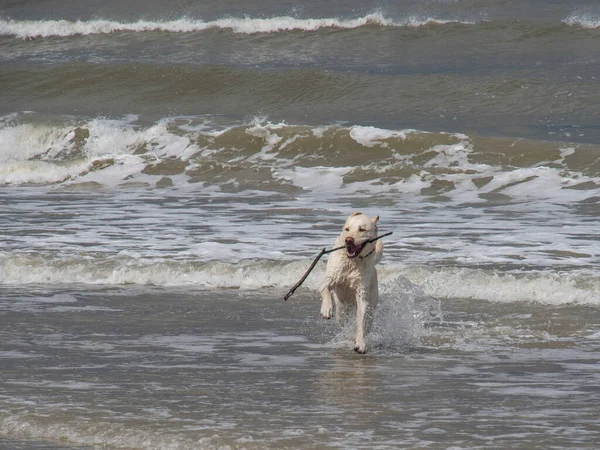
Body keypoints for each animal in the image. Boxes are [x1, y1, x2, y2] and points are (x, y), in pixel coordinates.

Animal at [322, 213, 382, 354]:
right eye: (347, 229)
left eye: (362, 229)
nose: (348, 240)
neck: (353, 261)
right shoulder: (329, 278)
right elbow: (326, 289)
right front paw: (326, 309)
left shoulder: (361, 294)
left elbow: (361, 321)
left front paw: (360, 343)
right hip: (341, 310)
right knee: (342, 321)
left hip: (371, 306)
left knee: (366, 324)